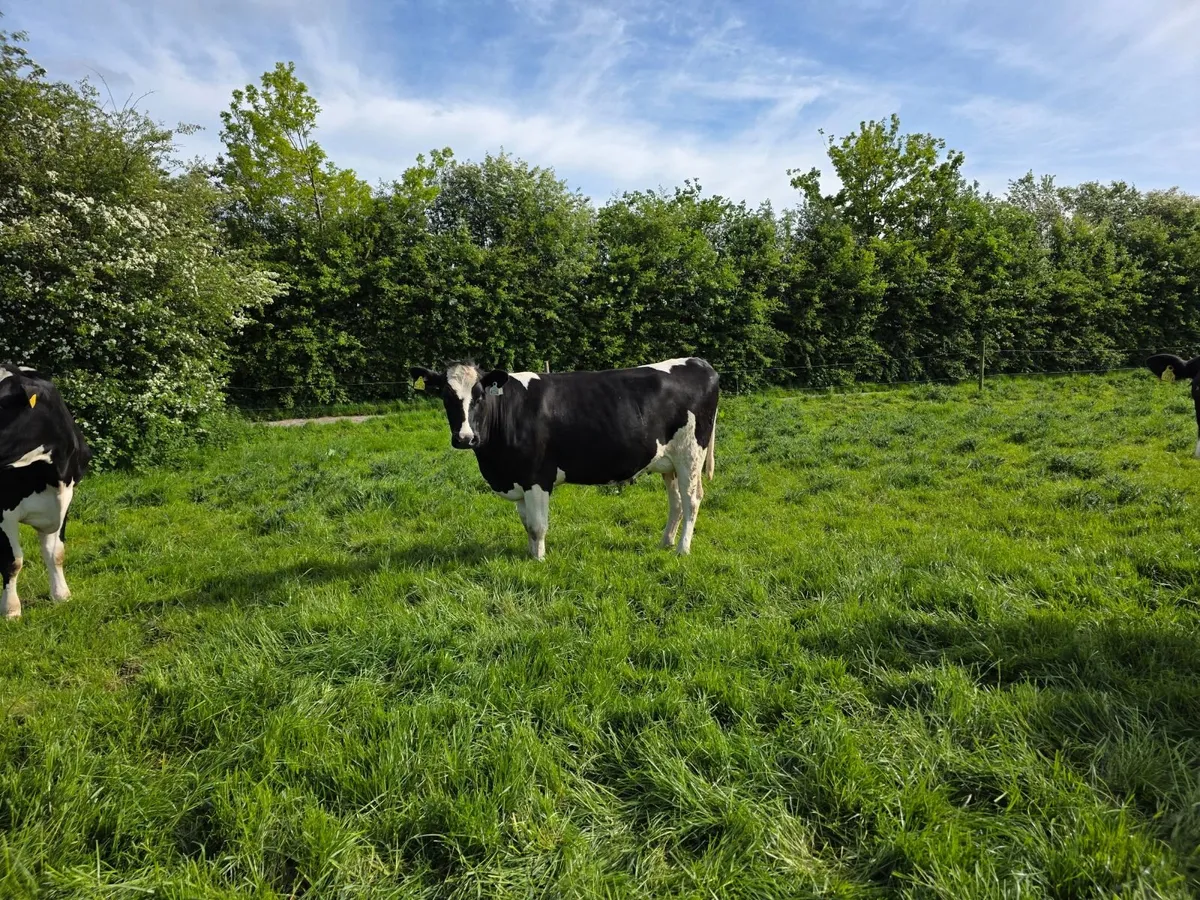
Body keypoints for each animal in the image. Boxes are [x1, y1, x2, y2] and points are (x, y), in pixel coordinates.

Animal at [408, 357, 719, 559]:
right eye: (445, 395)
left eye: (480, 395)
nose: (464, 438)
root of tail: (700, 362)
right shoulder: (517, 478)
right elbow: (527, 525)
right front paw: (529, 554)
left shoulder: (536, 478)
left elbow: (537, 525)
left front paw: (538, 560)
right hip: (669, 462)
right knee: (675, 502)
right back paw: (666, 542)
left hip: (690, 454)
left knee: (691, 500)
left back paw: (682, 550)